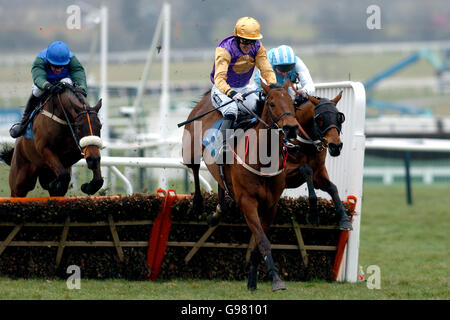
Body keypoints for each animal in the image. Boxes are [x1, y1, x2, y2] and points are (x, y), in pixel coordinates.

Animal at [181, 79, 300, 290]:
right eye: (271, 103)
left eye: (293, 103)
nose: (291, 128)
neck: (262, 158)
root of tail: (206, 98)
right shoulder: (248, 202)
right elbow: (262, 240)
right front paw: (276, 279)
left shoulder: (271, 206)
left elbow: (258, 241)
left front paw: (253, 279)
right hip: (189, 149)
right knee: (194, 167)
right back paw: (197, 203)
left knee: (221, 182)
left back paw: (218, 212)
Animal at [284, 92, 352, 230]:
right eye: (319, 119)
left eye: (339, 117)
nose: (335, 146)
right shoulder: (284, 172)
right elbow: (306, 168)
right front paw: (313, 214)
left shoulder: (319, 173)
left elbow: (332, 187)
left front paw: (344, 219)